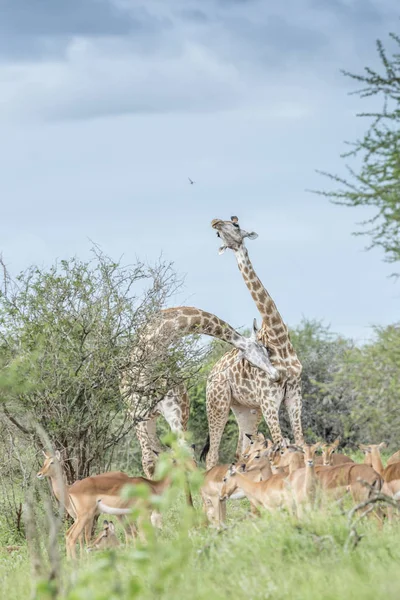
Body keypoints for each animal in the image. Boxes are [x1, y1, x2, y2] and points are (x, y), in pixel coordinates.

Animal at [122, 308, 278, 476]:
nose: (275, 374)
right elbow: (149, 461)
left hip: (180, 414)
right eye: (254, 358)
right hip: (146, 419)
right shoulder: (138, 415)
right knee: (152, 456)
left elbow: (185, 454)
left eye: (267, 349)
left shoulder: (173, 410)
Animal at [203, 218, 304, 472]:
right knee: (212, 456)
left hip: (245, 408)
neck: (280, 339)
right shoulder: (269, 400)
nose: (214, 223)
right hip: (217, 403)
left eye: (235, 225)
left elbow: (301, 442)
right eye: (219, 234)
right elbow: (281, 445)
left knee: (241, 451)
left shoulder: (294, 394)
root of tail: (212, 371)